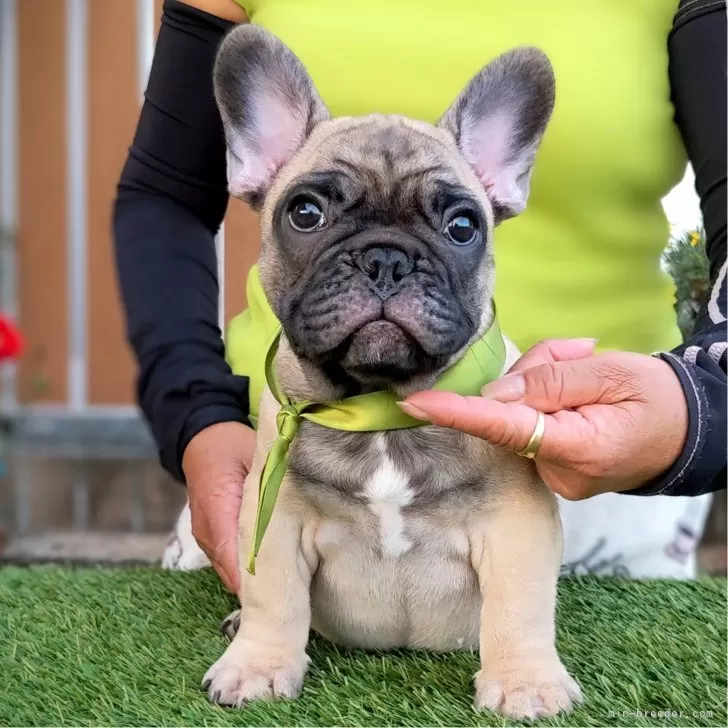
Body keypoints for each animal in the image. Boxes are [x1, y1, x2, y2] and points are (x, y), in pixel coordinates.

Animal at [202, 25, 584, 720]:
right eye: (305, 213)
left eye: (462, 226)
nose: (386, 258)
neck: (377, 406)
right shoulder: (276, 520)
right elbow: (273, 598)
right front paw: (257, 665)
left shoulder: (517, 527)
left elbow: (518, 609)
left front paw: (524, 683)